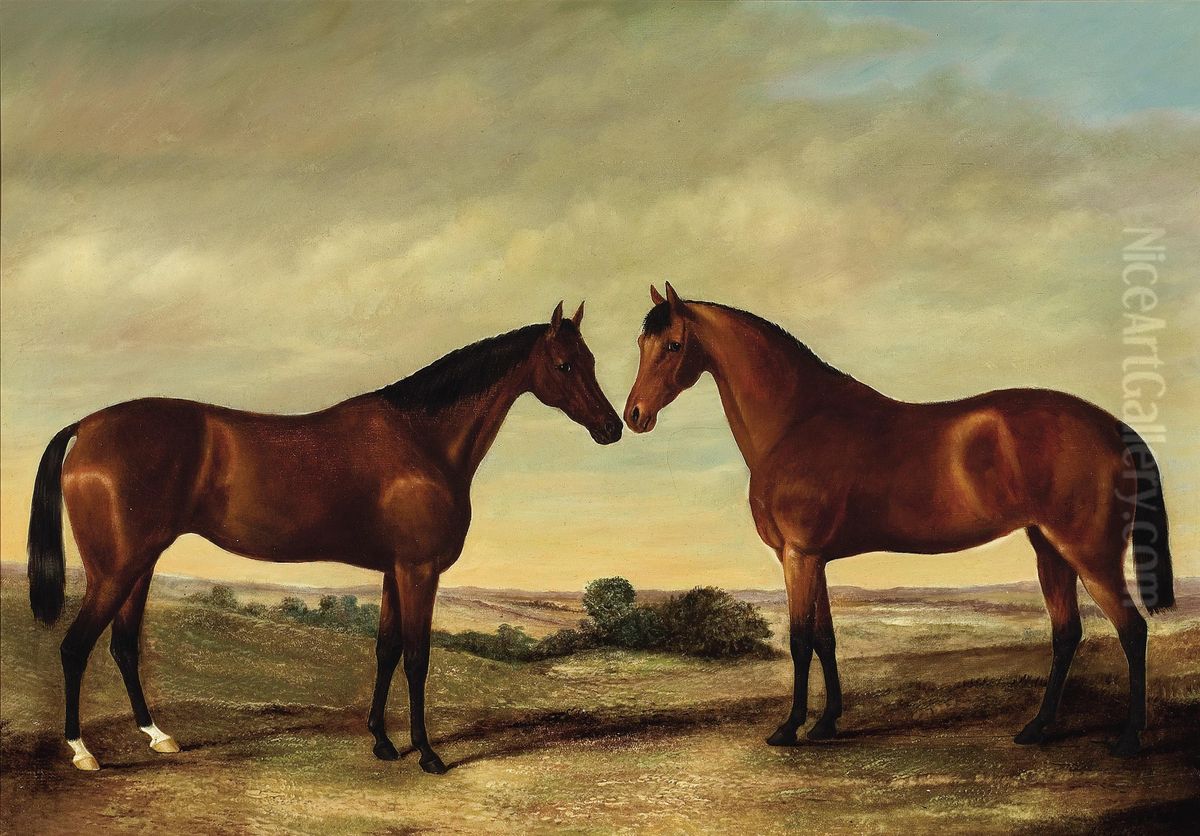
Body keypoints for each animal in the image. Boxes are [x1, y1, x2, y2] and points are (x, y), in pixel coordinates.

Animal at [27, 301, 622, 774]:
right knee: (75, 647)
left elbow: (385, 650)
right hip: (115, 569)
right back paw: (82, 752)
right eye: (565, 364)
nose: (613, 427)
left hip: (139, 564)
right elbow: (417, 657)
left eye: (591, 361)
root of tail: (87, 427)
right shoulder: (419, 570)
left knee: (124, 646)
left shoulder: (393, 571)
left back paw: (159, 737)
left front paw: (383, 742)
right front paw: (428, 754)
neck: (421, 440)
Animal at [623, 283, 1172, 757]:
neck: (797, 421)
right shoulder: (816, 558)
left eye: (673, 344)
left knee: (1131, 630)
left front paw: (789, 727)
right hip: (1049, 549)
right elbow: (825, 638)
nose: (635, 415)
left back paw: (1128, 739)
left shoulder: (798, 556)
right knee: (1066, 634)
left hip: (1091, 555)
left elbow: (799, 640)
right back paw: (1037, 729)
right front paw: (827, 723)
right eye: (641, 342)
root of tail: (1111, 426)